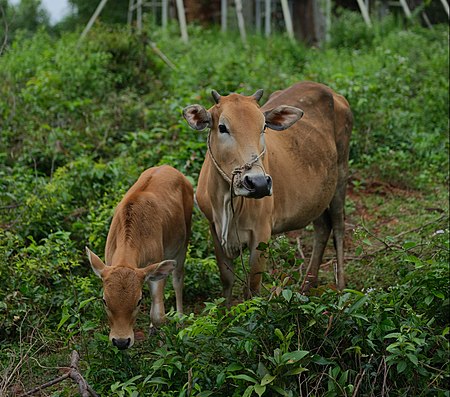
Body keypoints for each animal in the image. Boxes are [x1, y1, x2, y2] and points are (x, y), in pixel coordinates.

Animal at [86, 164, 193, 346]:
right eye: (104, 300)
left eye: (139, 301)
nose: (121, 341)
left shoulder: (155, 268)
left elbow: (158, 315)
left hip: (183, 241)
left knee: (178, 279)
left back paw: (179, 320)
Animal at [183, 79, 352, 304]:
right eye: (222, 127)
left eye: (263, 126)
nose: (258, 183)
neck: (228, 199)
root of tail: (331, 92)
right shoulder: (214, 228)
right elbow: (227, 279)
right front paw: (226, 311)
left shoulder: (262, 233)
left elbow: (252, 288)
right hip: (318, 194)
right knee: (323, 228)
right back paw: (307, 286)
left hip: (341, 174)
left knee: (339, 227)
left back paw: (340, 286)